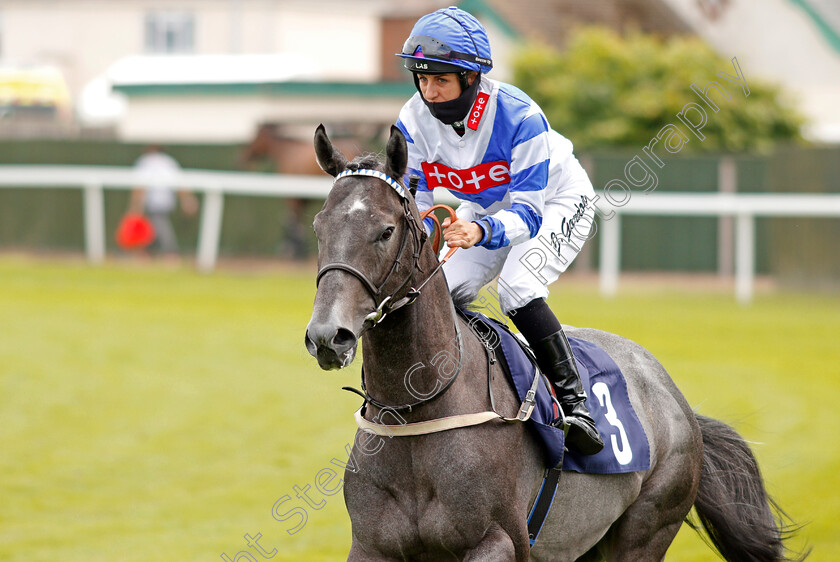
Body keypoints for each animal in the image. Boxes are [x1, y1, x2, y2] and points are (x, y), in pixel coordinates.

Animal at [306, 124, 796, 556]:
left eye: (386, 230)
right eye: (318, 226)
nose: (328, 335)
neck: (418, 410)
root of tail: (677, 400)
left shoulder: (500, 540)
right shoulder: (371, 546)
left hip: (647, 526)